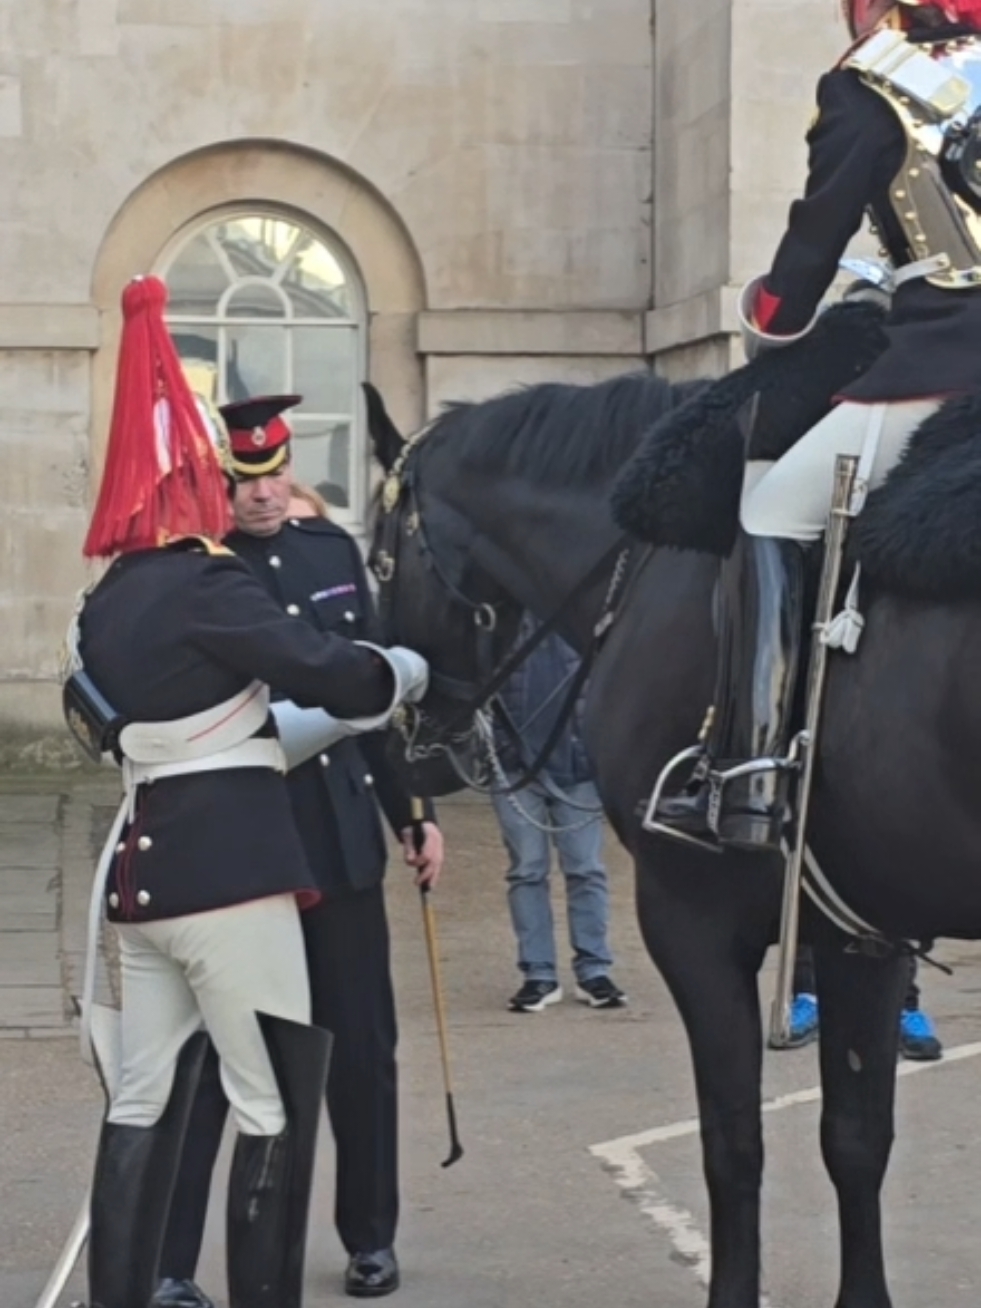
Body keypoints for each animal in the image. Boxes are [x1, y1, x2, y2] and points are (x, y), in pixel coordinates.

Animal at [366, 368, 981, 1308]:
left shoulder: (688, 918)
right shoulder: (860, 930)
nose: (408, 753)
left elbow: (732, 1147)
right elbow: (854, 1138)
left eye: (376, 554)